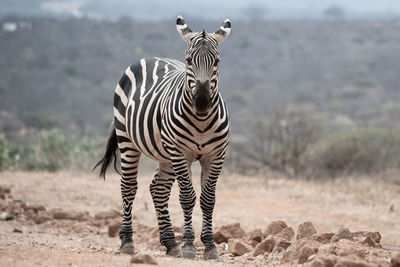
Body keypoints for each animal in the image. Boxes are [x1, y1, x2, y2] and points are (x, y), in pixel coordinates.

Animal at [94, 15, 231, 260]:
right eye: (188, 60)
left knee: (158, 190)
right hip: (128, 141)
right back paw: (127, 242)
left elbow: (208, 200)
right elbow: (187, 197)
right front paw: (189, 246)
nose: (202, 103)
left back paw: (170, 243)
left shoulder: (215, 155)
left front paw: (209, 246)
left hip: (165, 154)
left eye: (217, 61)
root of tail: (150, 57)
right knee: (128, 187)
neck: (201, 121)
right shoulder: (180, 153)